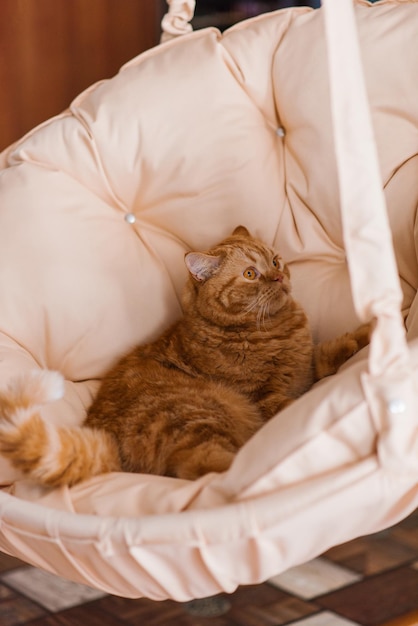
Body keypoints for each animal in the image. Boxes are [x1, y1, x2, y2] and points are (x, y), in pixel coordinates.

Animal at [0, 227, 370, 486]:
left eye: (275, 260)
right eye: (250, 274)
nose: (279, 276)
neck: (274, 327)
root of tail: (108, 442)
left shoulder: (307, 368)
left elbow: (336, 348)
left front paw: (368, 332)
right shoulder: (265, 396)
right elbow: (290, 405)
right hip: (202, 414)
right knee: (212, 469)